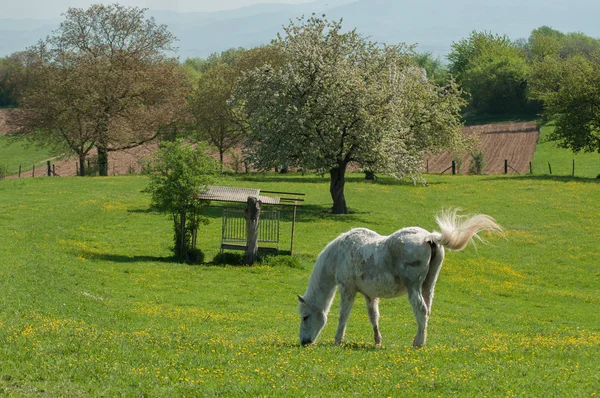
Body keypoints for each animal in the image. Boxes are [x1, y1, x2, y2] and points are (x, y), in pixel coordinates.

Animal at [298, 210, 502, 346]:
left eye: (305, 317)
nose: (304, 342)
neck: (341, 253)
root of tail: (429, 237)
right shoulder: (369, 295)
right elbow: (374, 317)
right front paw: (377, 341)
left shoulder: (348, 290)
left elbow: (343, 315)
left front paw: (337, 340)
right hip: (428, 286)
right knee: (427, 311)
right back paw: (421, 339)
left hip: (414, 288)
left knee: (421, 310)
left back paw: (418, 343)